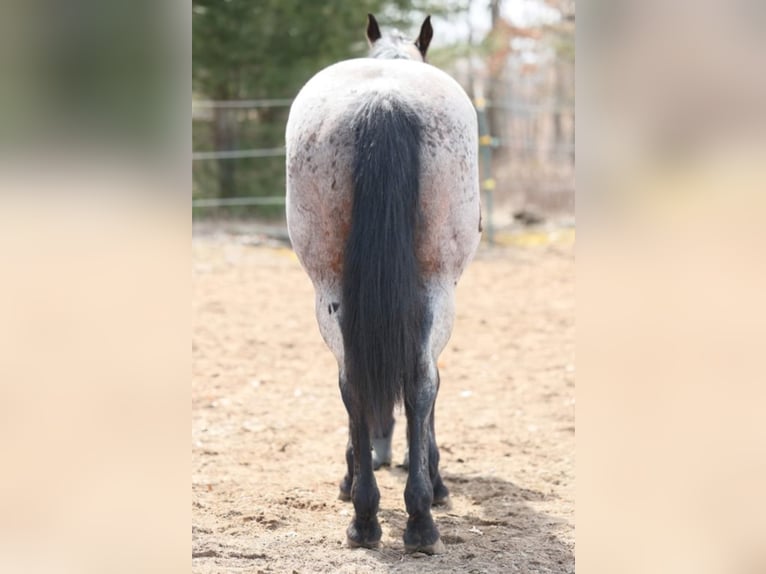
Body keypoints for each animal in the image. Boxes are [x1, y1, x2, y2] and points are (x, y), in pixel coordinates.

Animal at [284, 12, 484, 552]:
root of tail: (384, 101)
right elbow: (429, 388)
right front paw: (433, 479)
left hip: (329, 290)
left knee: (352, 382)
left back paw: (367, 516)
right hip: (437, 288)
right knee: (420, 383)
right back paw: (416, 519)